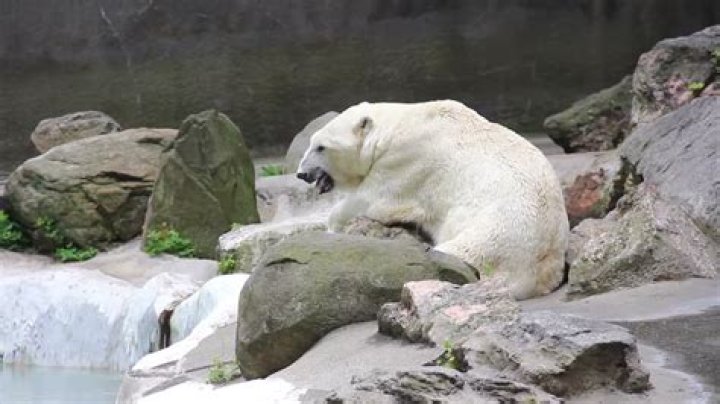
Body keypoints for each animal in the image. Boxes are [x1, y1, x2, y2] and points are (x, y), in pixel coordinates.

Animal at [296, 100, 568, 300]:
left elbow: (371, 199)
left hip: (491, 238)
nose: (301, 173)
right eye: (311, 143)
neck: (396, 125)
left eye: (320, 147)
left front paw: (331, 228)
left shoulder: (407, 160)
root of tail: (538, 273)